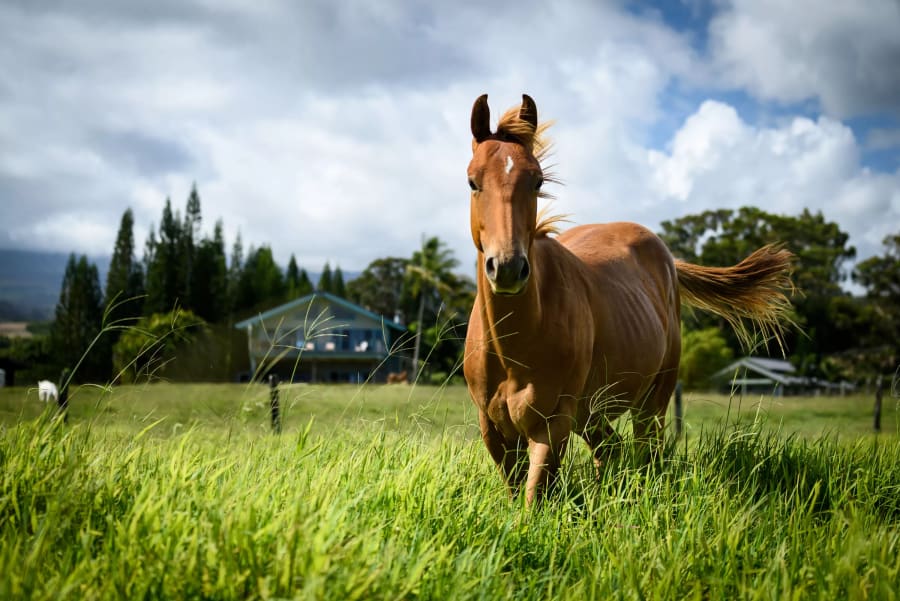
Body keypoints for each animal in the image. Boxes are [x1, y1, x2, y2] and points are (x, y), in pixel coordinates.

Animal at [460, 95, 792, 506]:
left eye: (537, 181)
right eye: (473, 181)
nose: (507, 267)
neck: (516, 346)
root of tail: (667, 258)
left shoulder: (553, 421)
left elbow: (536, 496)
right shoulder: (493, 426)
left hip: (652, 400)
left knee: (646, 452)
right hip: (593, 413)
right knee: (611, 452)